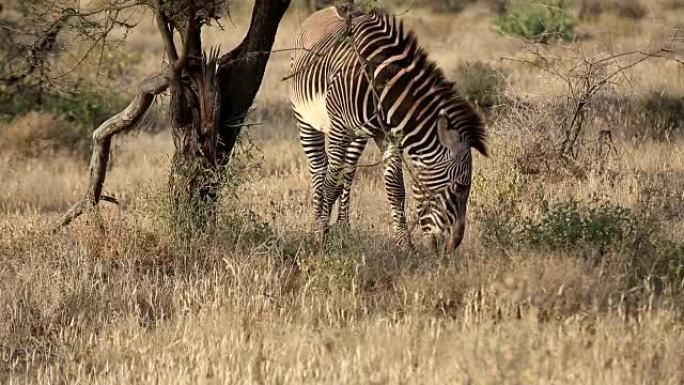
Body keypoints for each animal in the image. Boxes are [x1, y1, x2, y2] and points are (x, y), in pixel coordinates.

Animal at [288, 6, 486, 252]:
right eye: (460, 187)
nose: (452, 246)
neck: (381, 86)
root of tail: (324, 9)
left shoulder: (390, 136)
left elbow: (395, 188)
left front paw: (404, 244)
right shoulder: (339, 129)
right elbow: (330, 185)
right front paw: (320, 237)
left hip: (358, 136)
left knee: (348, 173)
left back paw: (344, 229)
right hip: (305, 119)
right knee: (319, 169)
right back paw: (317, 223)